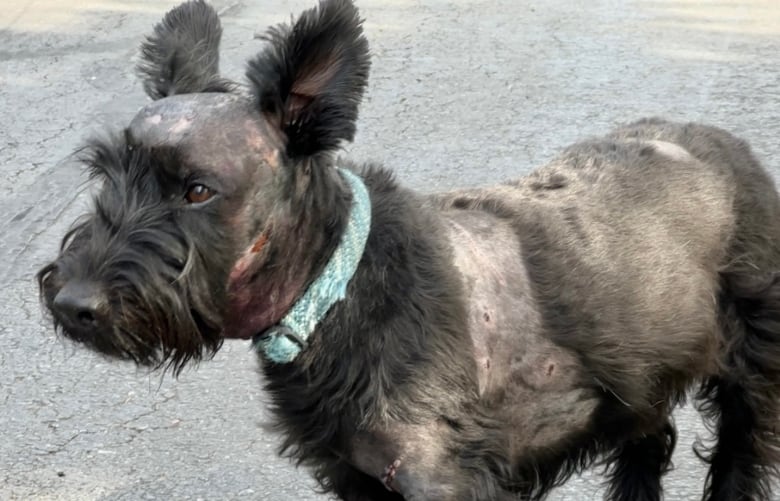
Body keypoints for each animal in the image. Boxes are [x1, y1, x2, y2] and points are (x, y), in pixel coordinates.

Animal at [38, 0, 780, 500]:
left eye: (197, 189)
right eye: (104, 172)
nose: (72, 304)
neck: (338, 289)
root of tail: (729, 147)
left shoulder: (442, 479)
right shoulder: (356, 475)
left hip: (748, 378)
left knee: (735, 459)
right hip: (641, 378)